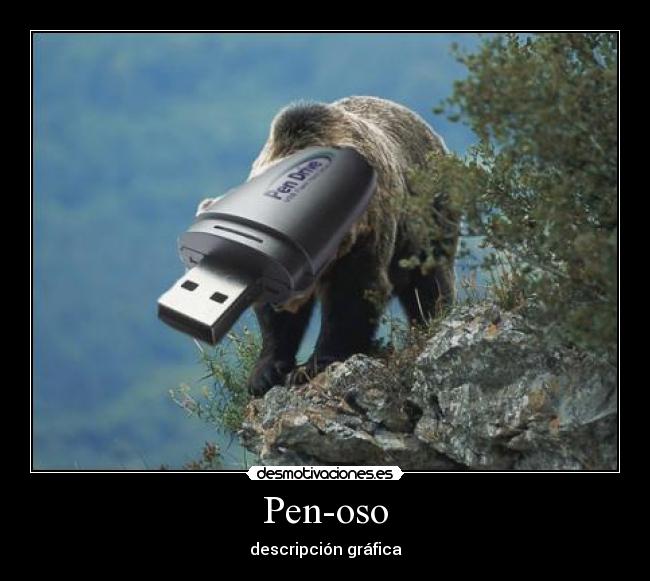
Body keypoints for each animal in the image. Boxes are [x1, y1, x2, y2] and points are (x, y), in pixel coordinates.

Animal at [199, 96, 460, 396]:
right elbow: (273, 322)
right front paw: (264, 374)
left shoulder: (366, 233)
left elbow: (353, 295)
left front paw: (311, 367)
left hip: (426, 214)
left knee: (429, 280)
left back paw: (432, 321)